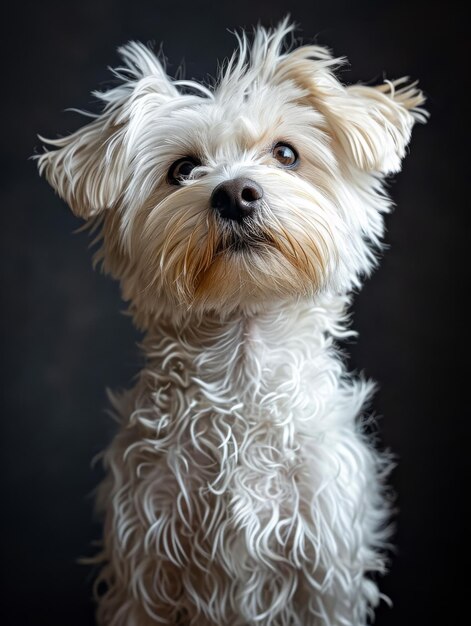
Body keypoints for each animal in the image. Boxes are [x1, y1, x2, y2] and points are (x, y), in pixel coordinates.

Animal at [37, 19, 428, 624]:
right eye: (182, 170)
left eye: (286, 153)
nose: (236, 193)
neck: (244, 363)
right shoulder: (146, 568)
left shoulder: (325, 572)